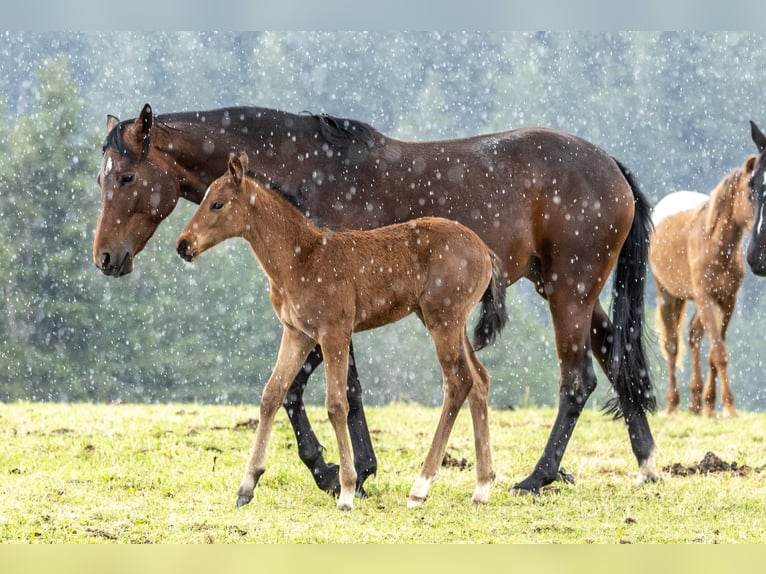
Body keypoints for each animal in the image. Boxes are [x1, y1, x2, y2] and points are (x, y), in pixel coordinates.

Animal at [94, 104, 660, 500]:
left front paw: (341, 473)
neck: (304, 169)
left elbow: (325, 391)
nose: (105, 258)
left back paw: (536, 478)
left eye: (126, 177)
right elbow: (310, 390)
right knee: (614, 363)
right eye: (101, 178)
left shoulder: (331, 316)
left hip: (569, 291)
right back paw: (648, 463)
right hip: (566, 292)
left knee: (576, 380)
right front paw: (342, 470)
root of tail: (612, 166)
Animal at [652, 156, 760, 418]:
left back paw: (696, 403)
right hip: (668, 295)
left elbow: (714, 350)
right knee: (672, 344)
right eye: (749, 194)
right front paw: (730, 406)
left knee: (693, 335)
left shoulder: (728, 301)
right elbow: (718, 352)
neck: (714, 244)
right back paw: (673, 404)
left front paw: (712, 406)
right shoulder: (706, 298)